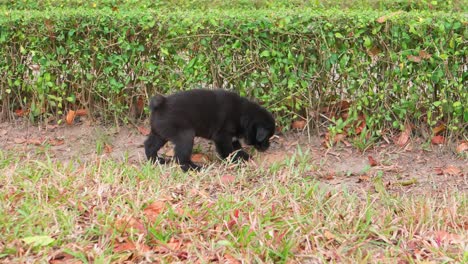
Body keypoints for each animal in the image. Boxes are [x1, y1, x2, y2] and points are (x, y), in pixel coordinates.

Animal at [143, 88, 274, 171]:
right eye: (267, 137)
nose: (268, 146)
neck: (243, 115)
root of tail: (161, 104)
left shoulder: (232, 138)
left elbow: (237, 148)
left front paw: (244, 156)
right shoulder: (222, 137)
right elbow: (228, 152)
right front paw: (234, 162)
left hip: (160, 134)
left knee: (149, 146)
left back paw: (156, 161)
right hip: (186, 136)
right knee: (181, 158)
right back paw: (194, 168)